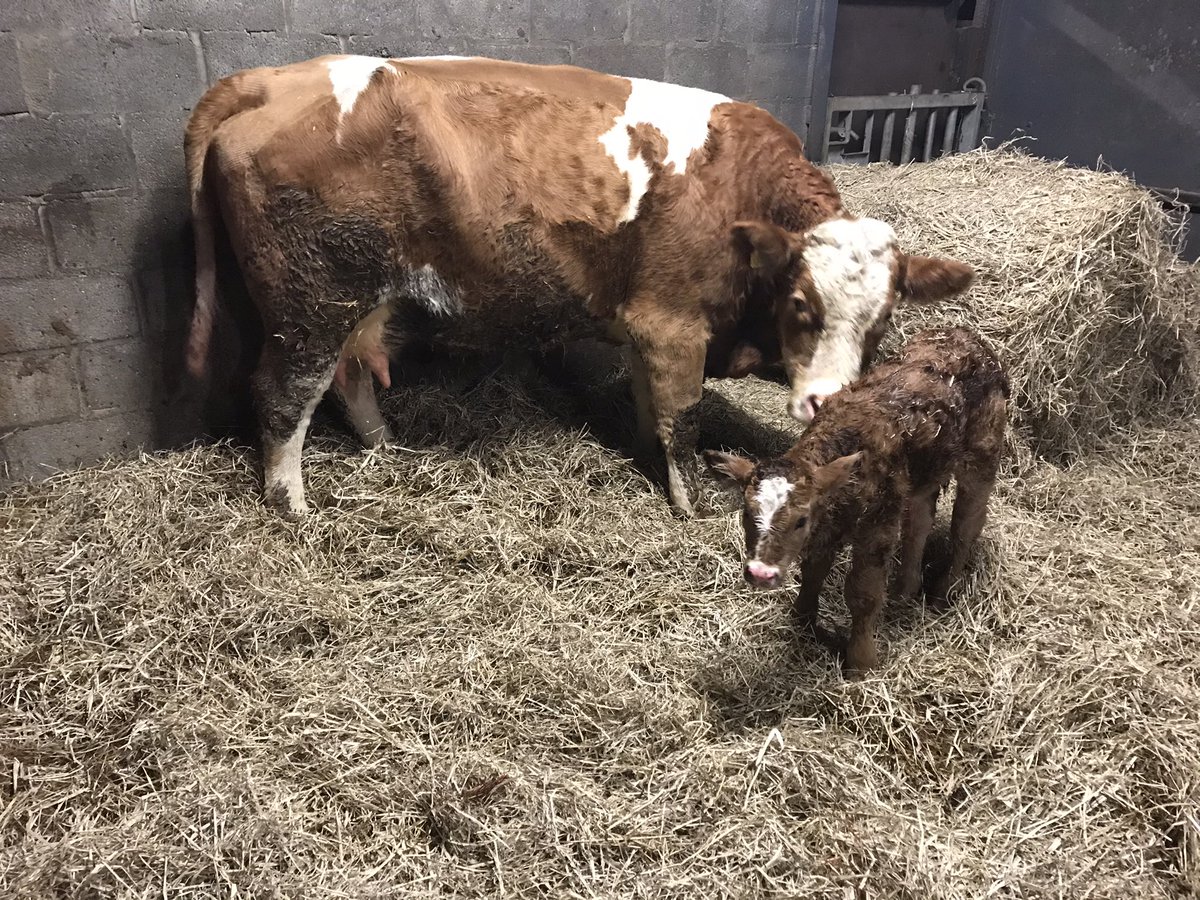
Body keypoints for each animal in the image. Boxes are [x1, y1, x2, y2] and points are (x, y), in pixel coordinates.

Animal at [183, 54, 974, 518]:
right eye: (802, 305)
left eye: (882, 322)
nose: (827, 400)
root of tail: (273, 77)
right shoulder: (673, 324)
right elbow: (683, 417)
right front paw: (692, 506)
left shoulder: (647, 331)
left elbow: (651, 408)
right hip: (308, 304)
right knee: (283, 395)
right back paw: (290, 505)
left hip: (359, 300)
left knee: (349, 375)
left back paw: (385, 447)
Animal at [704, 327, 1009, 672]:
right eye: (746, 513)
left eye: (800, 521)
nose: (760, 574)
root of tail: (967, 336)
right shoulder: (829, 524)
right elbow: (813, 570)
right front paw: (802, 619)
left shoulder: (877, 526)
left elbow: (863, 593)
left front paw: (861, 663)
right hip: (922, 476)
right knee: (919, 523)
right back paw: (904, 591)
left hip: (983, 454)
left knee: (966, 526)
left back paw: (943, 593)